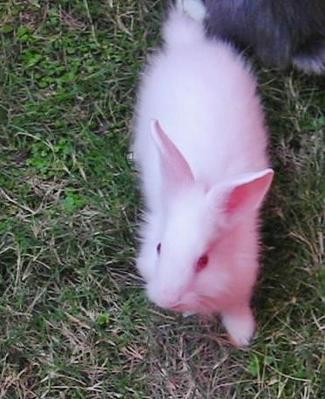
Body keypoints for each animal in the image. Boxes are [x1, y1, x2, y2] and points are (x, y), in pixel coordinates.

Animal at [132, 3, 274, 346]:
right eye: (159, 247)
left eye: (203, 262)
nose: (167, 300)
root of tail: (190, 45)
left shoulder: (240, 280)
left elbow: (237, 308)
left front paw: (242, 336)